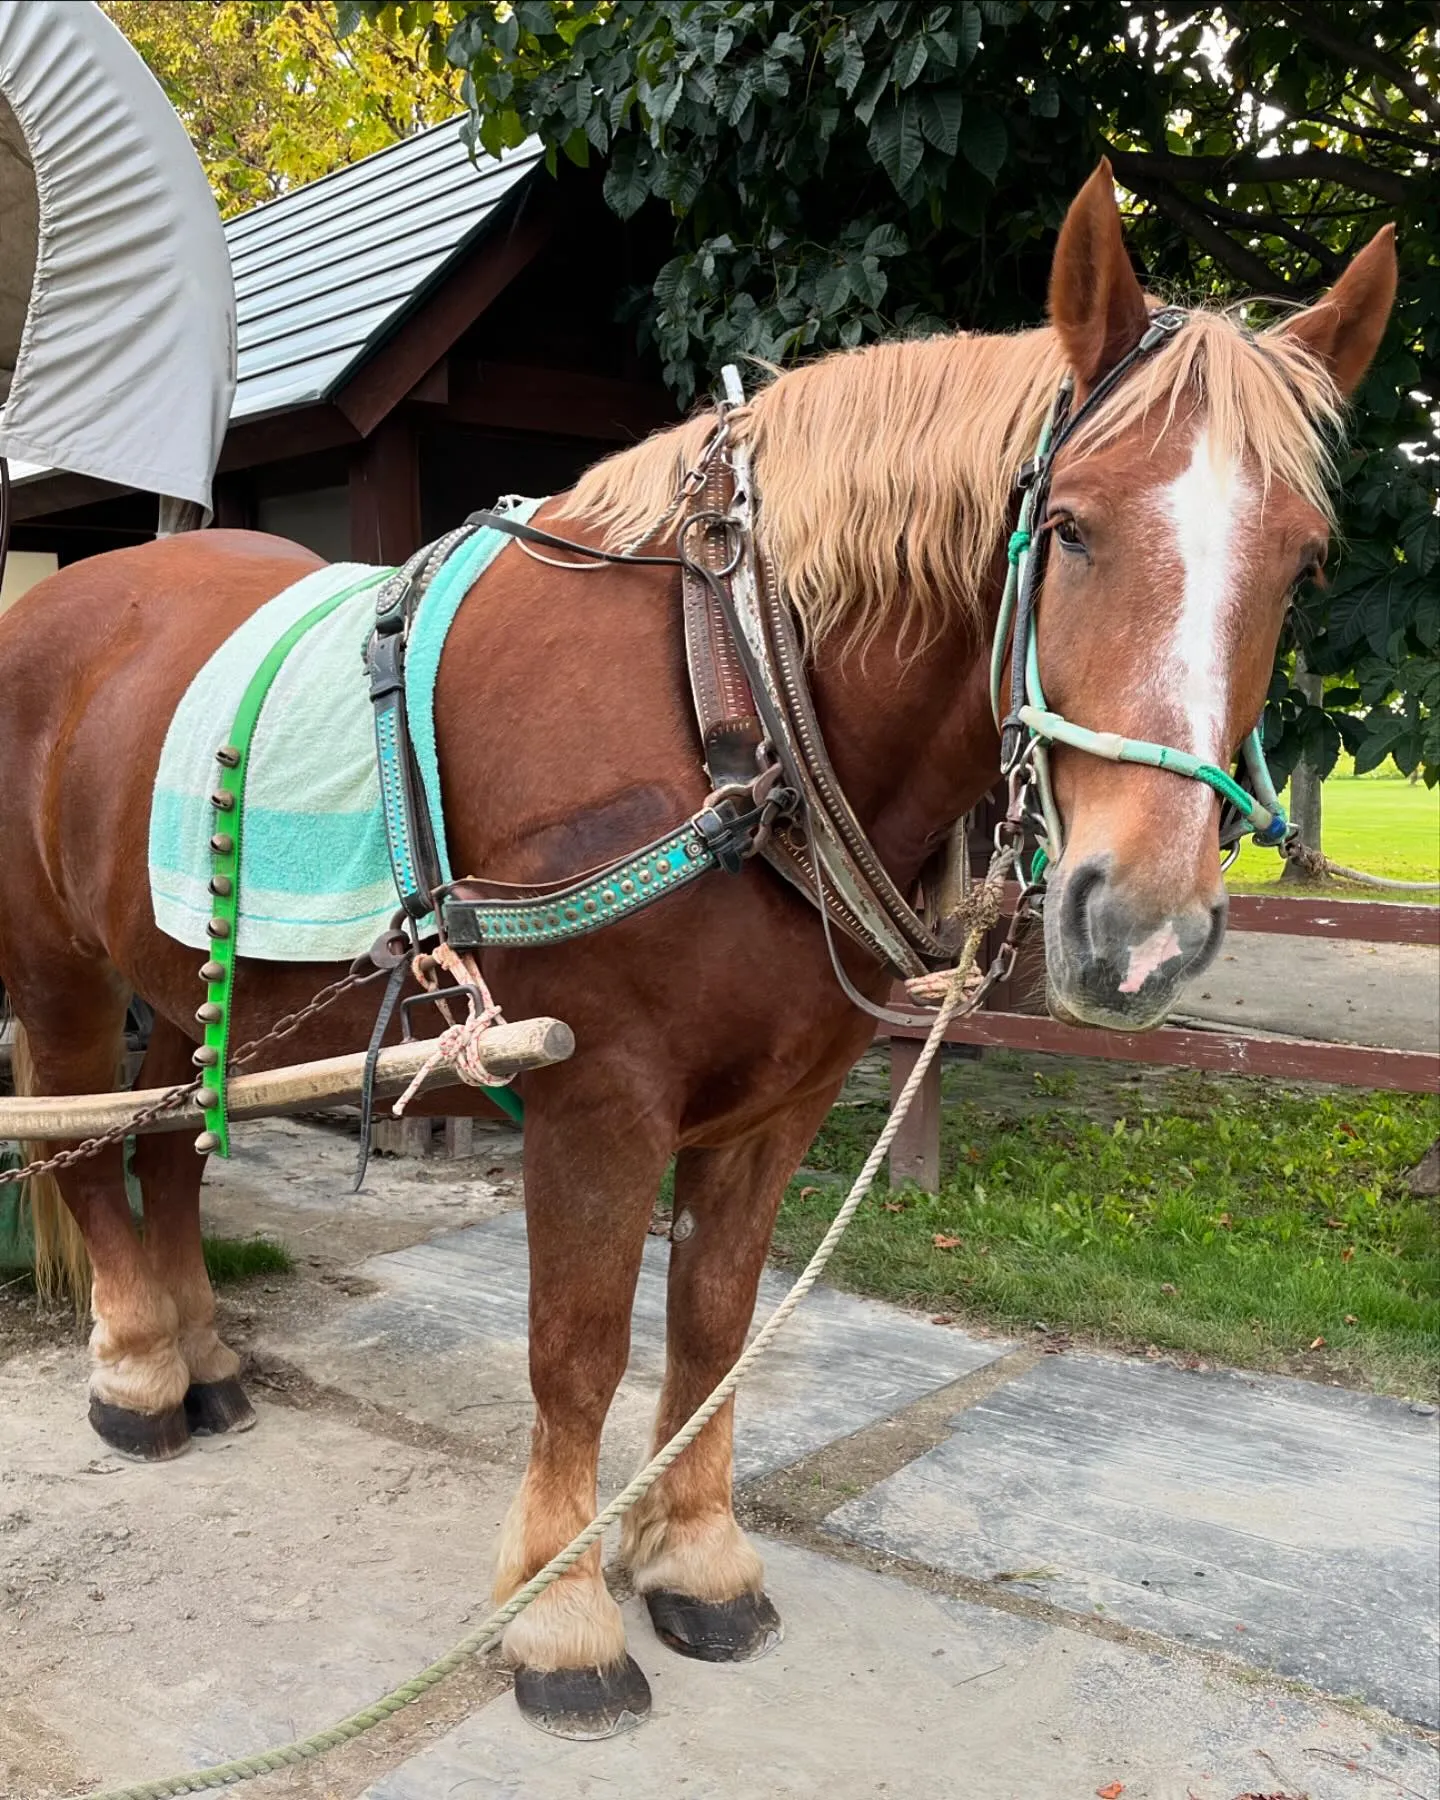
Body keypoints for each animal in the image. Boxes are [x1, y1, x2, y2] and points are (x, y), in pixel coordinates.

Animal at [0, 165, 1396, 1728]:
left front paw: (695, 1561)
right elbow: (580, 1348)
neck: (729, 693)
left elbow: (717, 1329)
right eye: (1075, 528)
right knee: (84, 1154)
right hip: (60, 974)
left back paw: (201, 1356)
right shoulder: (597, 1095)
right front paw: (560, 1617)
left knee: (173, 1145)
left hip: (196, 989)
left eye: (1305, 560)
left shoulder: (781, 1100)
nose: (1141, 930)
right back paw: (136, 1374)